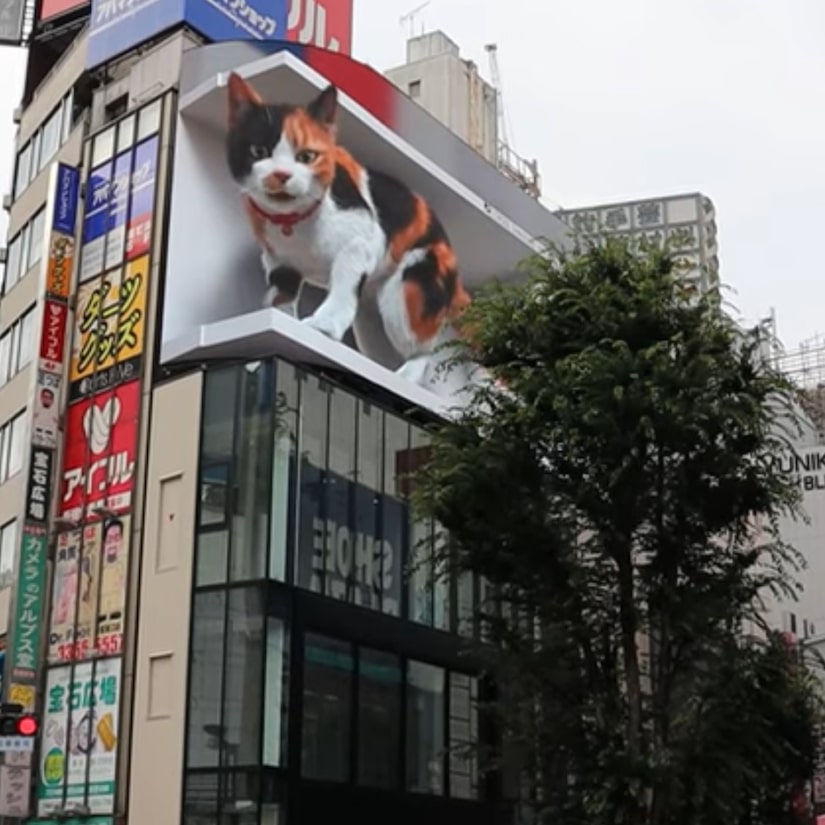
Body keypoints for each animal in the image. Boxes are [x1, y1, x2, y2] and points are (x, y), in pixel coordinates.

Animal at [225, 70, 466, 384]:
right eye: (258, 150)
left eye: (306, 156)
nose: (281, 174)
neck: (295, 223)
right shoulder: (278, 261)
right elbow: (281, 295)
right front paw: (279, 324)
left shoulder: (360, 242)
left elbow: (342, 288)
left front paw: (323, 325)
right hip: (371, 315)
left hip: (409, 287)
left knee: (423, 346)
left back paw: (406, 375)